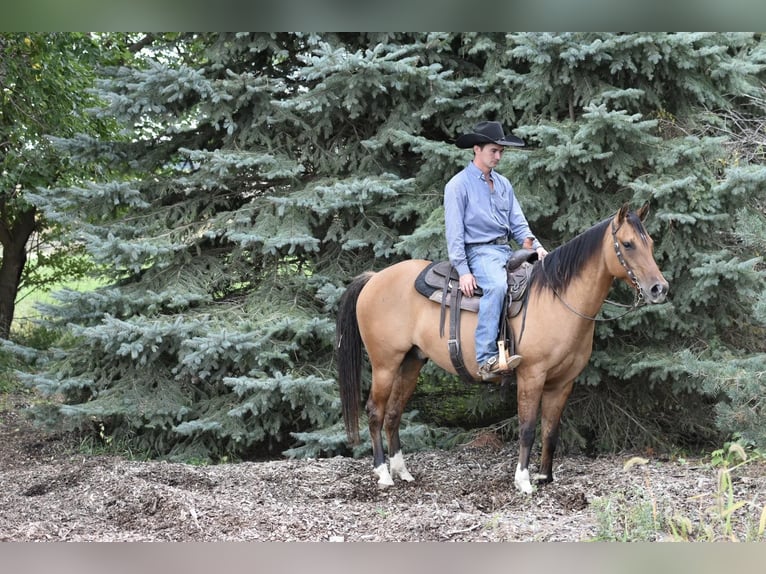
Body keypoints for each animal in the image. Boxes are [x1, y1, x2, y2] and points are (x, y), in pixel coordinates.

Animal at [340, 204, 668, 496]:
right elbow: (528, 428)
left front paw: (545, 477)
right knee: (375, 411)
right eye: (627, 244)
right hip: (385, 363)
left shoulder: (563, 382)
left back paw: (403, 472)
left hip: (411, 362)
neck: (557, 298)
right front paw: (523, 481)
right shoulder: (531, 375)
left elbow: (551, 430)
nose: (659, 289)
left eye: (650, 243)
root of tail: (375, 278)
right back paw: (383, 474)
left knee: (394, 413)